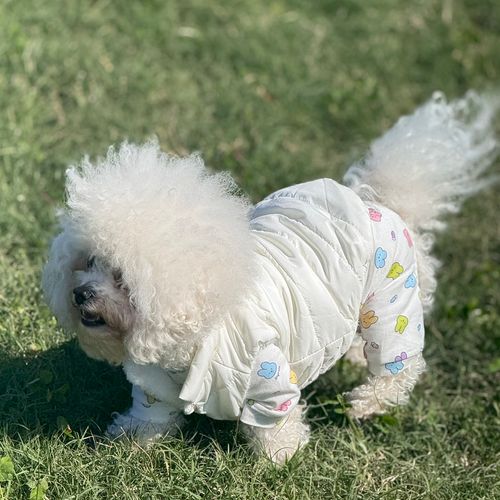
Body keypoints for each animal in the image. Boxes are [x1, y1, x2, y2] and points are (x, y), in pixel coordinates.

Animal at [42, 92, 498, 464]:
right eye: (90, 260)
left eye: (122, 277)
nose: (80, 294)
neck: (200, 331)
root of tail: (379, 201)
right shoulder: (155, 381)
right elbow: (150, 411)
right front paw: (132, 440)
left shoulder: (269, 379)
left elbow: (276, 424)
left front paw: (281, 459)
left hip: (392, 302)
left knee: (400, 365)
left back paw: (366, 403)